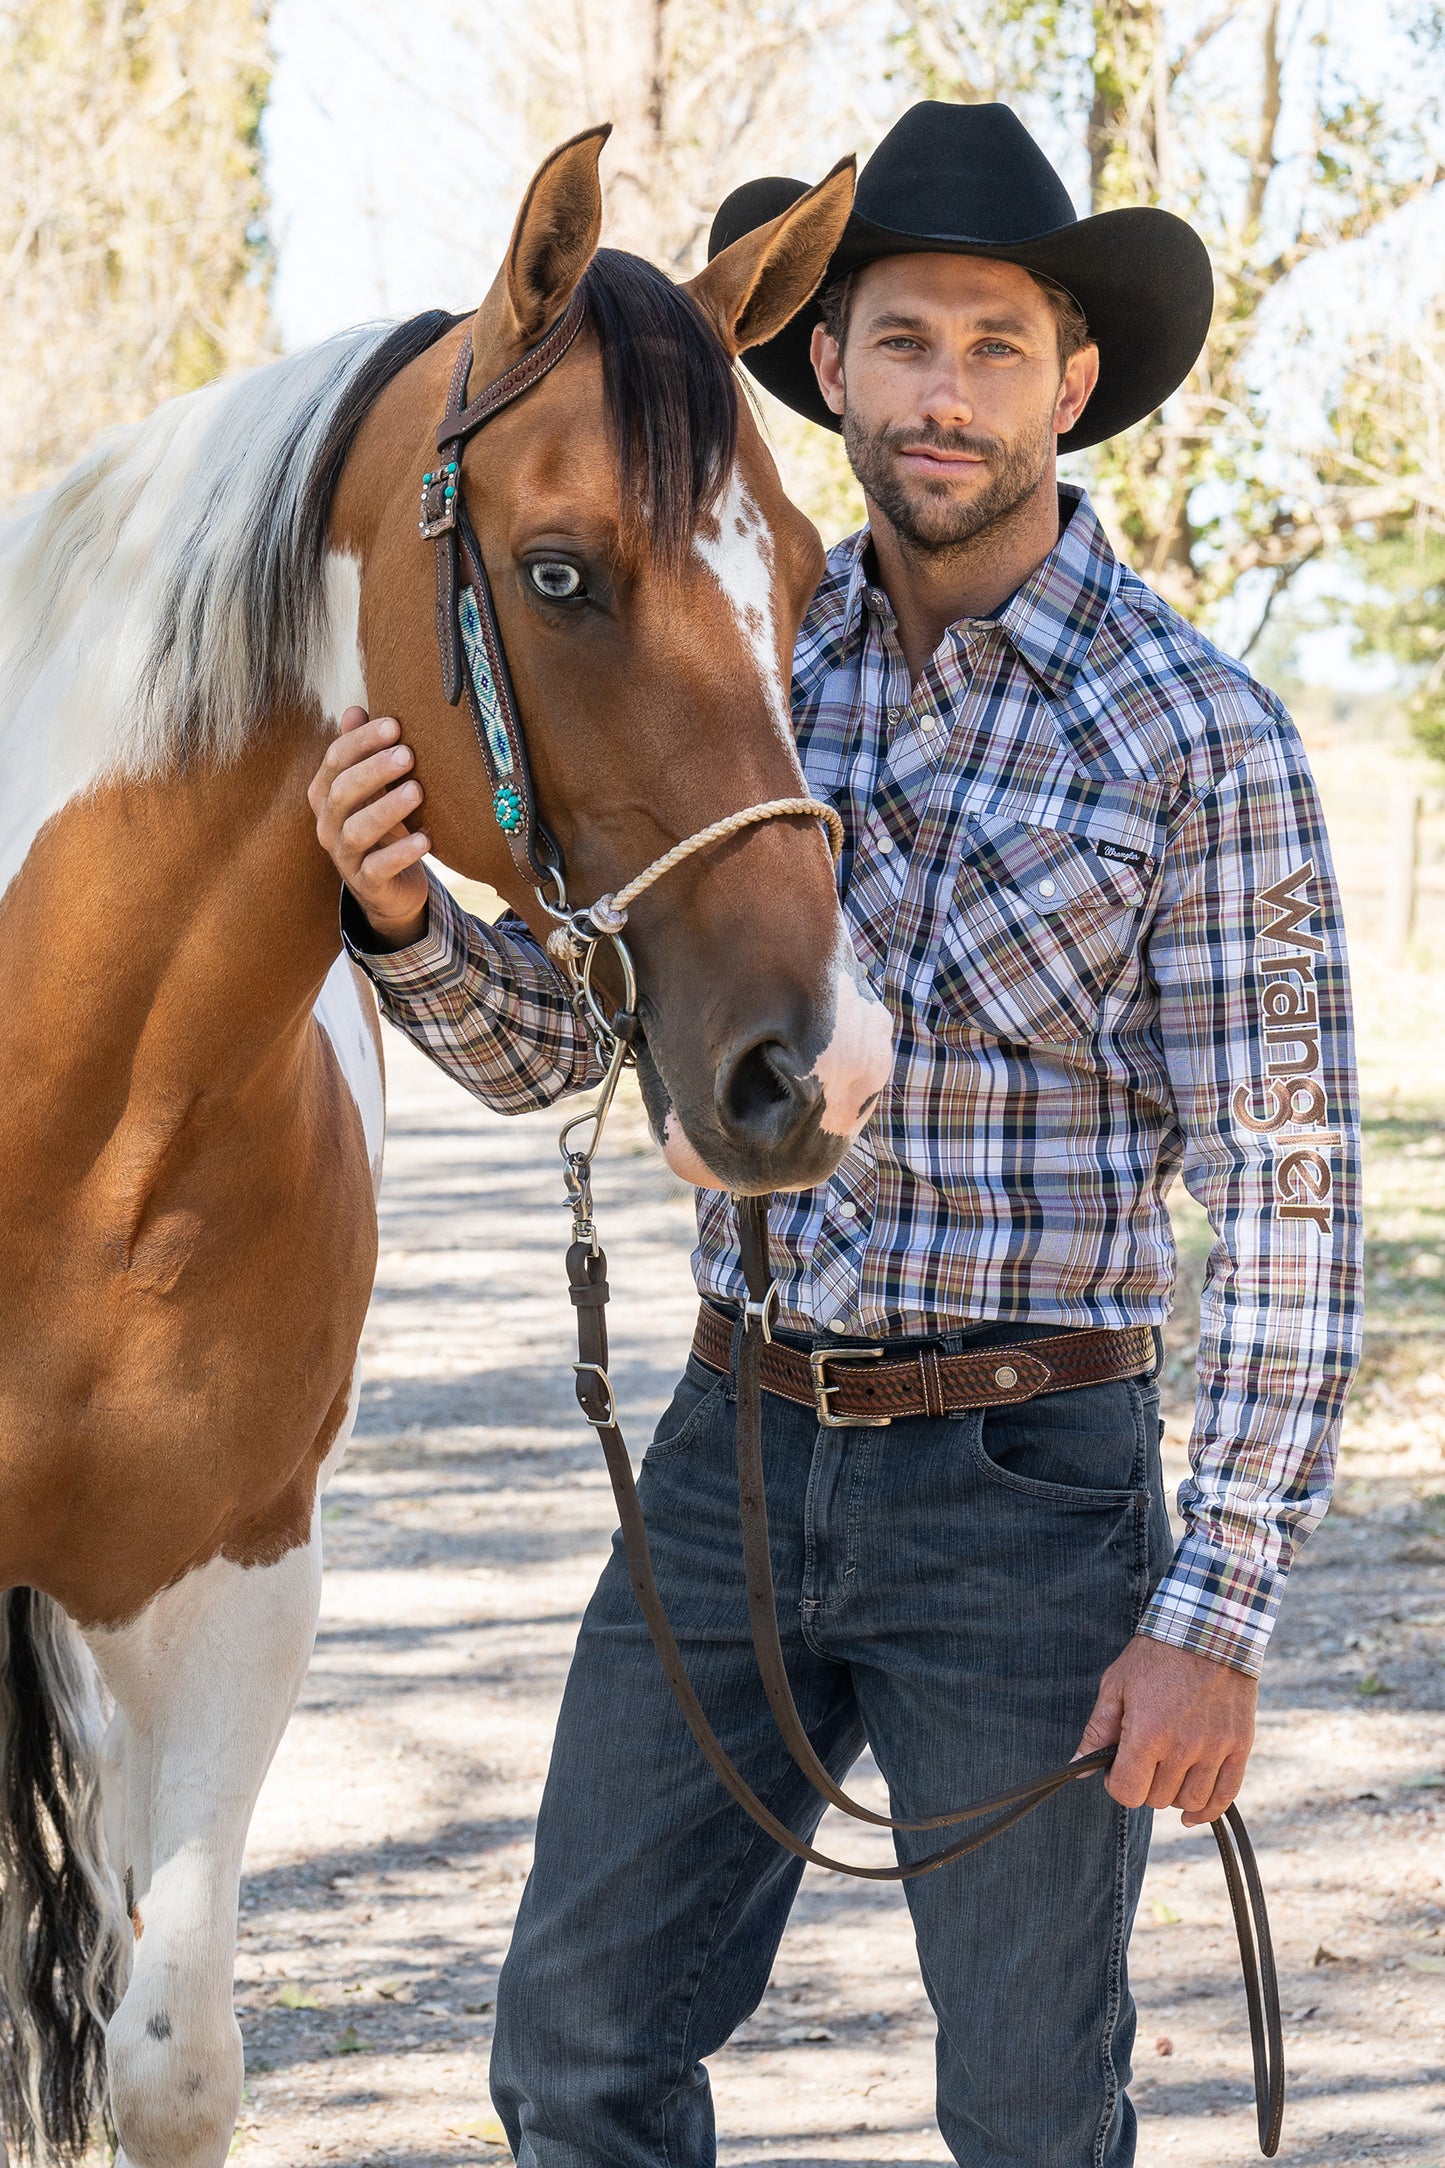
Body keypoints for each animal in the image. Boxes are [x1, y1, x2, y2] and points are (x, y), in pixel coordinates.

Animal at [0, 131, 892, 2168]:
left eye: (808, 572)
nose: (825, 1065)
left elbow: (173, 2060)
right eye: (560, 572)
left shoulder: (233, 1588)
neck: (82, 1137)